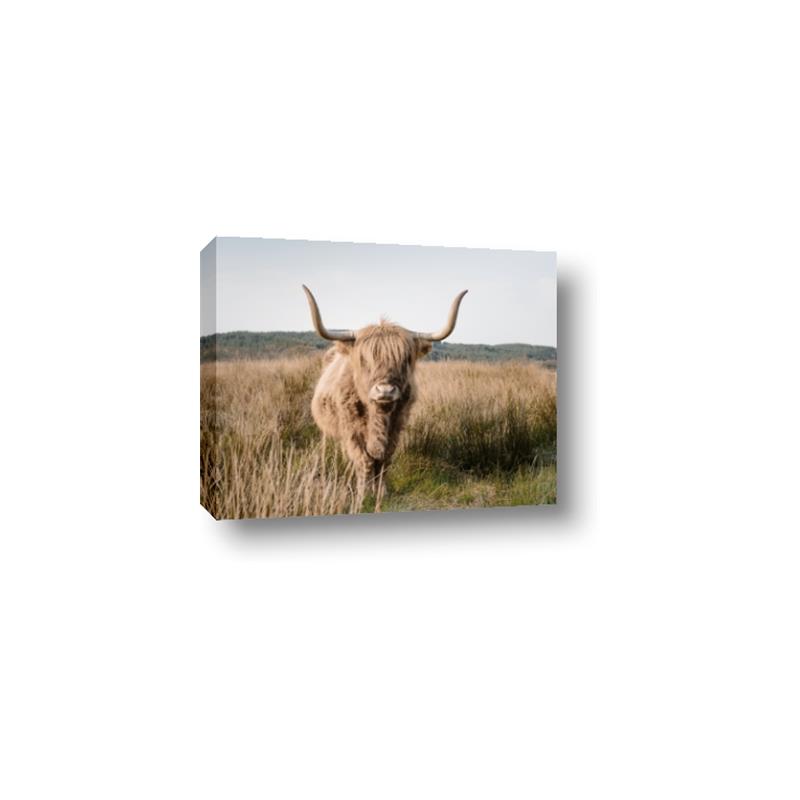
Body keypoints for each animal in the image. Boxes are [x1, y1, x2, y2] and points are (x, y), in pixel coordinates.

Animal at [302, 285, 468, 509]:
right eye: (364, 359)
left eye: (405, 359)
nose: (385, 391)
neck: (378, 417)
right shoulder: (352, 431)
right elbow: (364, 461)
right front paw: (363, 497)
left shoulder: (396, 428)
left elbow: (384, 461)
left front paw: (381, 494)